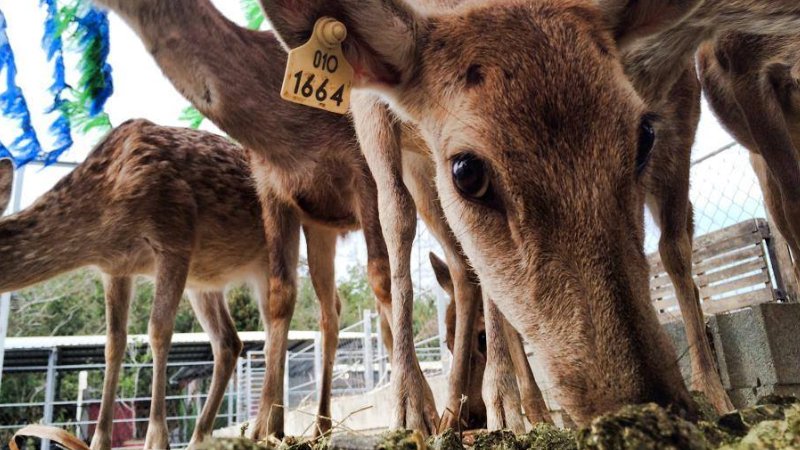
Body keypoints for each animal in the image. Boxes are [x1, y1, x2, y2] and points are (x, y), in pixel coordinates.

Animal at [0, 119, 343, 450]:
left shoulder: (174, 235)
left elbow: (159, 329)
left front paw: (156, 439)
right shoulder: (115, 268)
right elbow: (114, 343)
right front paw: (98, 442)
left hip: (272, 253)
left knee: (299, 311)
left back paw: (287, 429)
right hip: (204, 281)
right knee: (231, 341)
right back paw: (214, 435)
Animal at [90, 0, 531, 437]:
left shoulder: (361, 171)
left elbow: (379, 278)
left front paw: (417, 406)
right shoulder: (284, 197)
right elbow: (291, 299)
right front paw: (268, 425)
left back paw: (501, 407)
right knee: (457, 266)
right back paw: (459, 411)